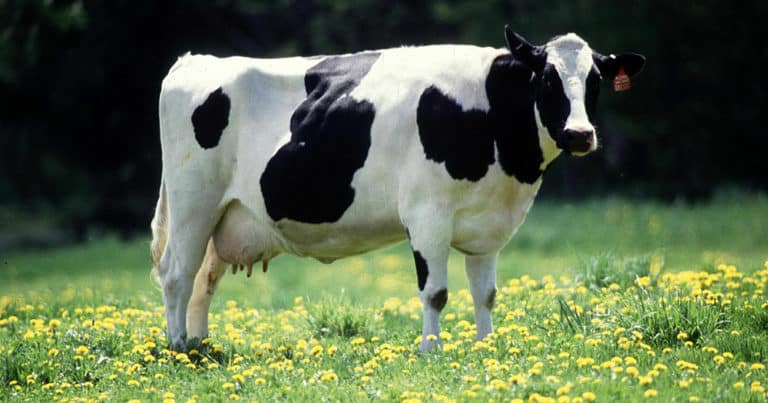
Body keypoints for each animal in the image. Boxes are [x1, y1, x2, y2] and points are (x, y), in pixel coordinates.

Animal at [150, 26, 645, 351]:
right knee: (176, 274)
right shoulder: (427, 215)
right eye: (546, 79)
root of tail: (195, 60)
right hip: (193, 203)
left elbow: (485, 293)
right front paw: (431, 350)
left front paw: (486, 346)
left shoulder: (489, 225)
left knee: (204, 279)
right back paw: (178, 347)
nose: (580, 134)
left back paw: (201, 345)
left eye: (595, 81)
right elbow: (436, 292)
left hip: (225, 215)